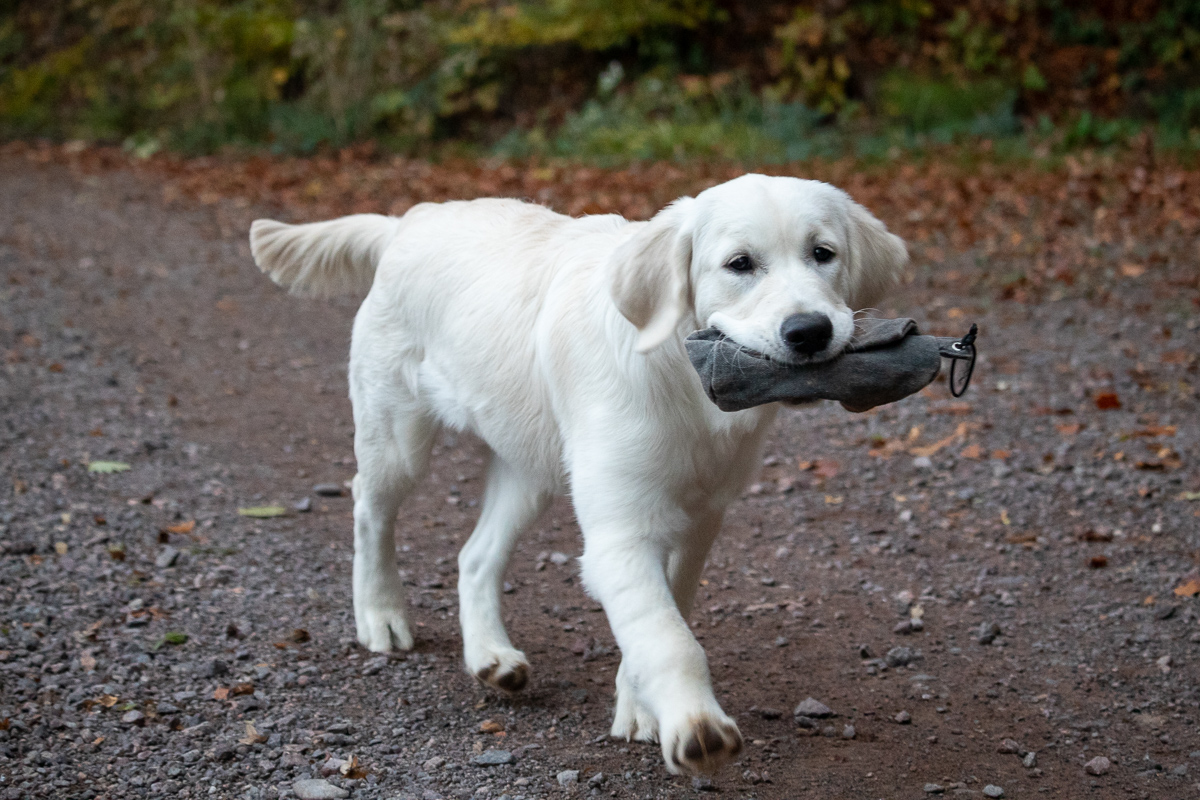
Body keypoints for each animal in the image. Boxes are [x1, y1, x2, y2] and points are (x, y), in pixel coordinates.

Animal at [255, 176, 907, 777]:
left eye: (823, 253)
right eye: (740, 264)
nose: (810, 331)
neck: (684, 376)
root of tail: (406, 222)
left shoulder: (701, 519)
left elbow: (667, 612)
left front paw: (641, 708)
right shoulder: (621, 531)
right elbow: (667, 636)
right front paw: (694, 723)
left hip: (532, 471)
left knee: (474, 556)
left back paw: (490, 654)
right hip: (399, 438)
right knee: (370, 510)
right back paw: (382, 615)